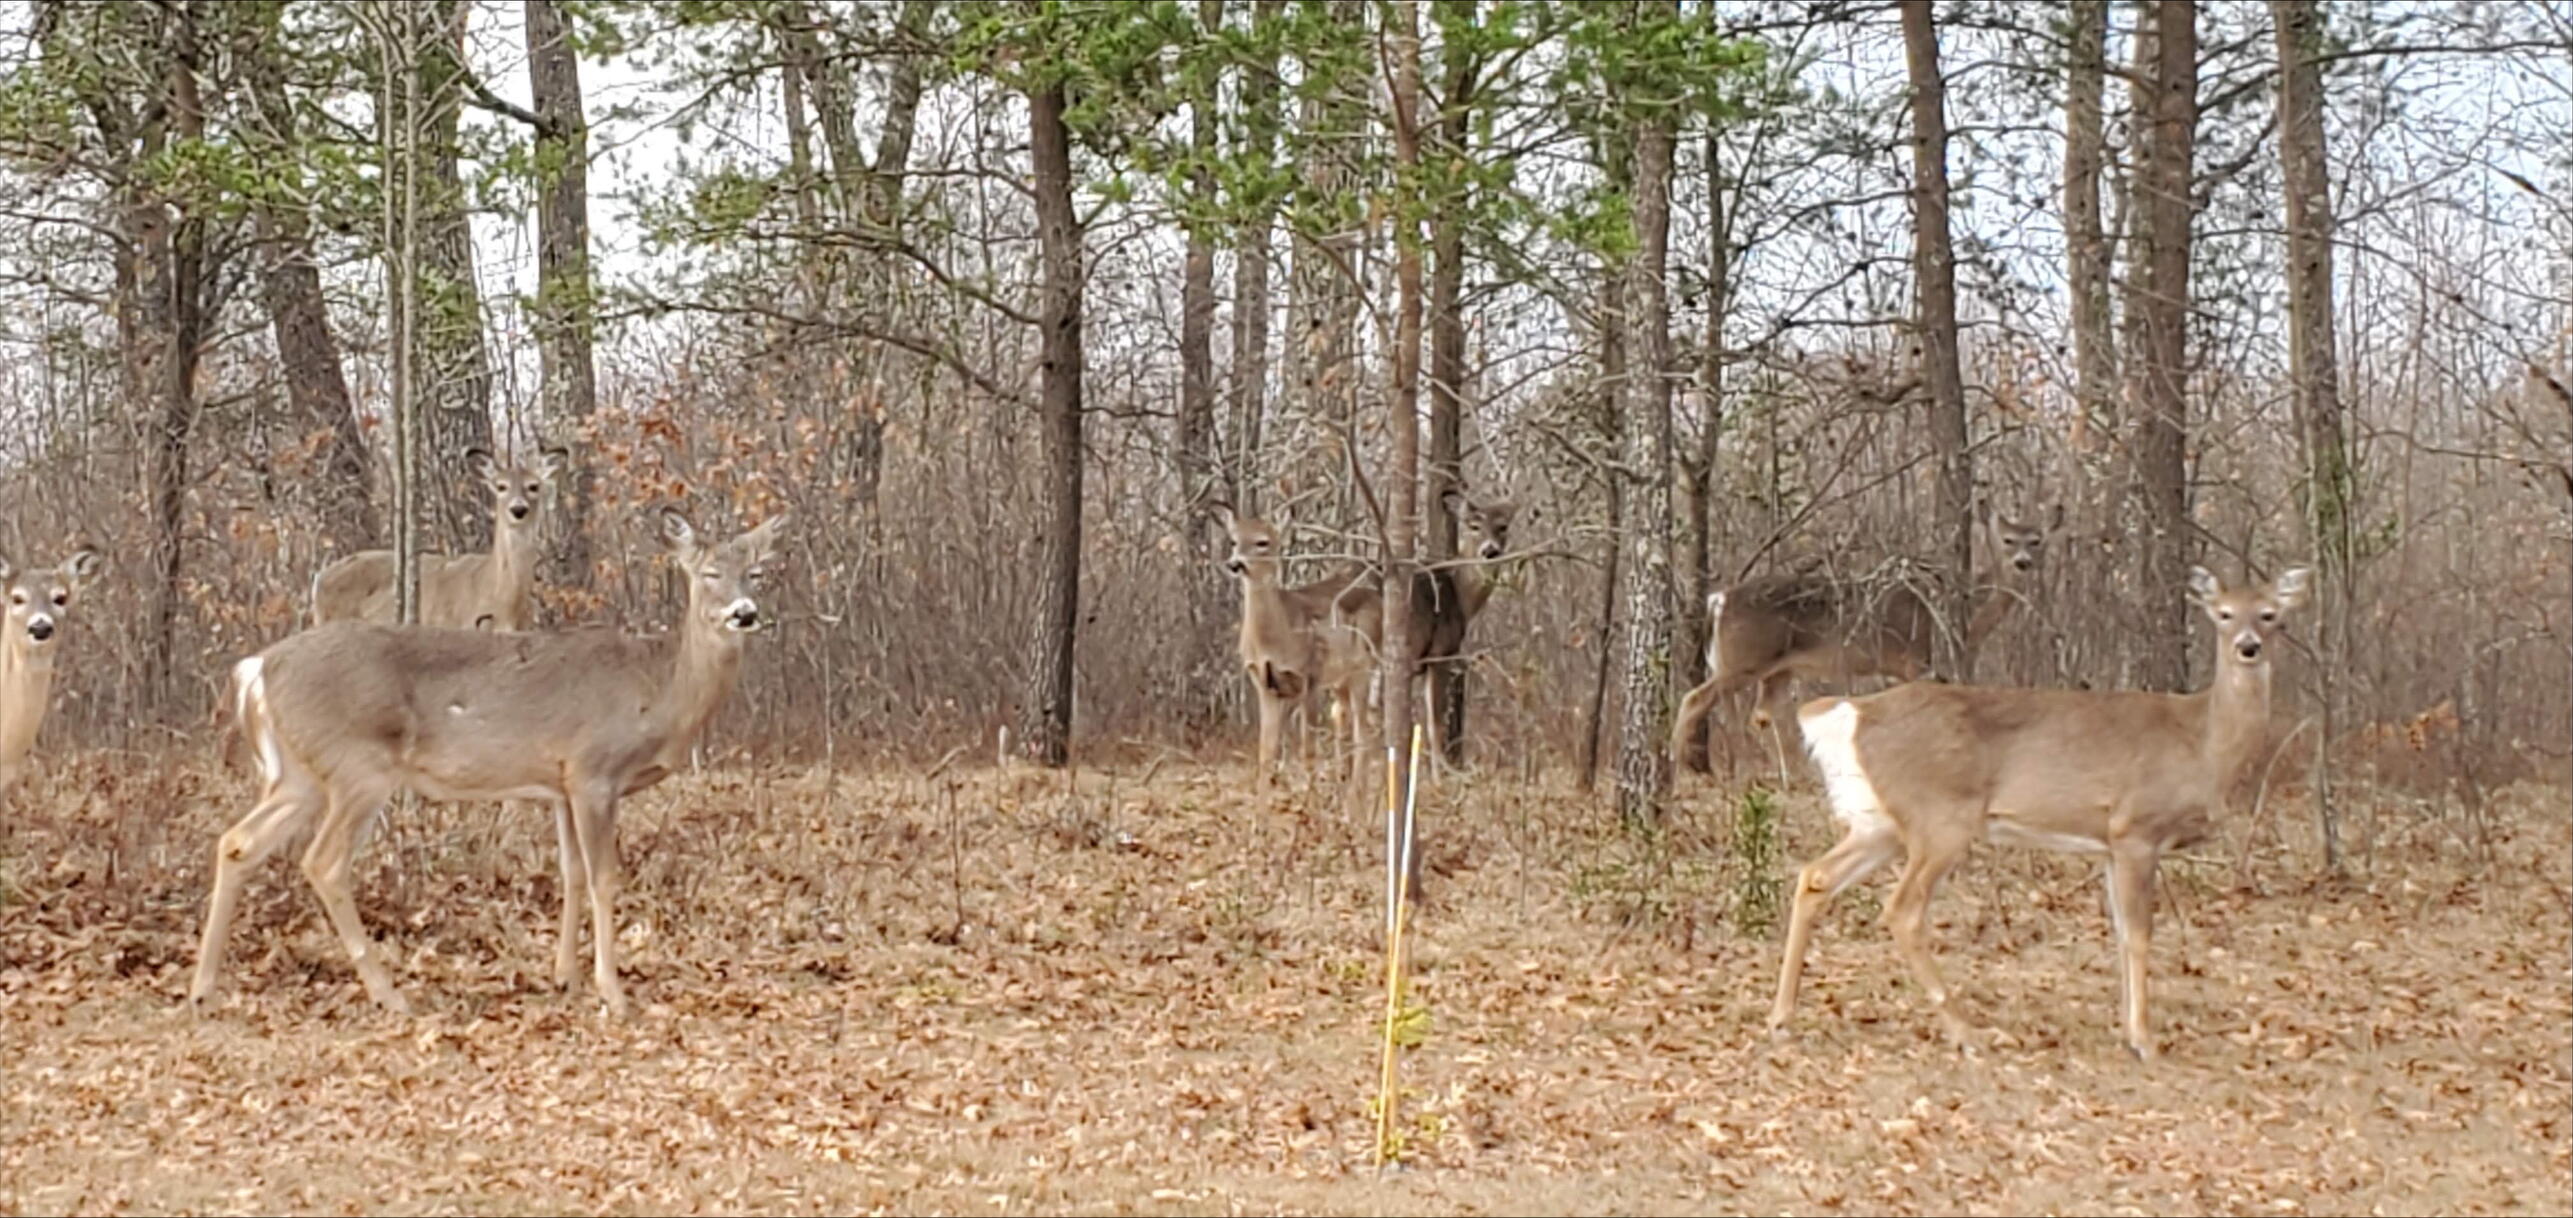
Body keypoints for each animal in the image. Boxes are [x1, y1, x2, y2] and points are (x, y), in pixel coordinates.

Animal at [190, 507, 790, 1019]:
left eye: (756, 572)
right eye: (709, 572)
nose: (745, 613)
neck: (661, 689)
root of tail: (257, 667)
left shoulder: (560, 783)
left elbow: (571, 873)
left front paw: (565, 977)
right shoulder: (594, 772)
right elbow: (603, 877)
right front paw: (613, 994)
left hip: (300, 774)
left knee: (238, 842)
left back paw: (204, 988)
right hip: (357, 766)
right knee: (323, 861)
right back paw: (390, 994)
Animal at [1669, 501, 2061, 772]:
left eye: (2037, 541)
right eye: (2008, 540)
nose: (2023, 562)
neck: (1967, 611)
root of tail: (1718, 599)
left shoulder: (1901, 669)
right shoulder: (1917, 659)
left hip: (1778, 668)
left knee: (1764, 715)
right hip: (1745, 658)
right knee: (1695, 697)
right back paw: (1681, 765)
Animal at [1768, 563, 2311, 1061]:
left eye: (2270, 614)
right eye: (2223, 614)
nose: (2248, 646)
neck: (2202, 743)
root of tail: (1854, 713)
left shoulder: (2109, 845)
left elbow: (2119, 933)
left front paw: (2126, 1029)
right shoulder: (2136, 829)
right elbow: (2139, 934)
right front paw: (2144, 1040)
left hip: (1882, 823)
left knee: (1815, 877)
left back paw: (1782, 1017)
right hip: (1940, 819)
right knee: (1902, 910)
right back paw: (1966, 1033)